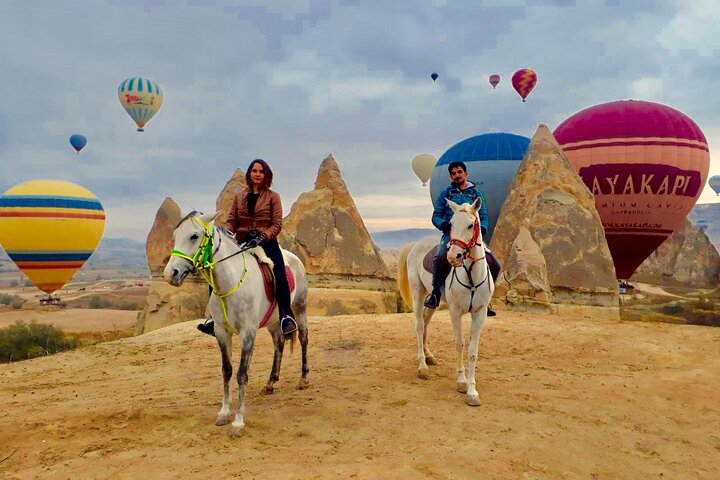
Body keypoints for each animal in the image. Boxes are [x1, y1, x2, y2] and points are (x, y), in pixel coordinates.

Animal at [163, 209, 310, 436]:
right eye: (175, 236)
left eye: (194, 236)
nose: (171, 274)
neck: (229, 283)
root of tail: (294, 258)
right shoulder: (222, 332)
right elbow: (227, 370)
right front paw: (224, 413)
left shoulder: (248, 333)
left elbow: (242, 374)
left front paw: (238, 422)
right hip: (273, 321)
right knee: (279, 343)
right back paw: (270, 382)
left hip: (300, 309)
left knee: (303, 338)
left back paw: (303, 378)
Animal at [396, 198, 492, 404]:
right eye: (451, 225)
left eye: (471, 225)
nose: (453, 257)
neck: (471, 275)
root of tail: (416, 244)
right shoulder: (455, 311)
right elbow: (459, 344)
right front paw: (462, 382)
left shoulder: (480, 313)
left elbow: (473, 350)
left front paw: (472, 391)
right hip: (418, 293)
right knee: (419, 326)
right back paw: (422, 366)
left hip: (434, 300)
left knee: (425, 322)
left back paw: (429, 356)